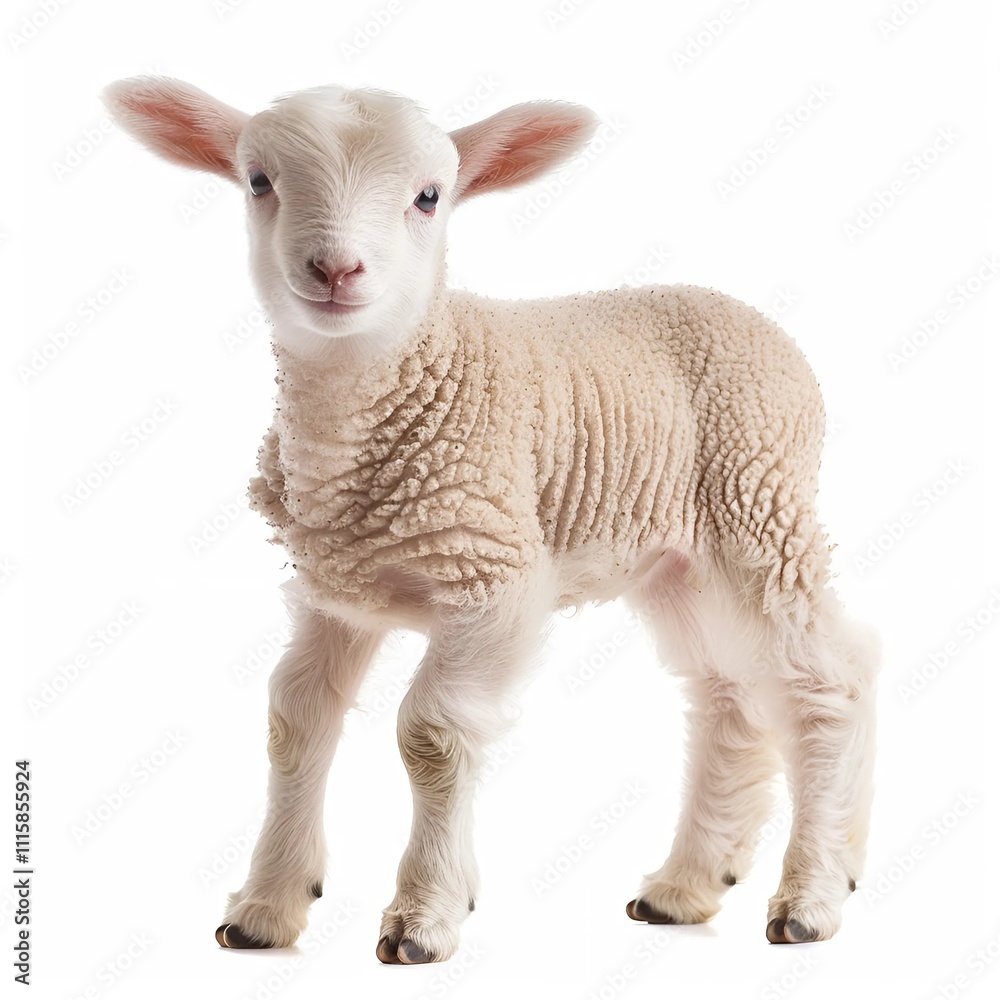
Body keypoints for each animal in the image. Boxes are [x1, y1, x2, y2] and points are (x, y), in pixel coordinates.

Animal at [101, 75, 879, 963]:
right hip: (678, 558)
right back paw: (685, 888)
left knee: (831, 681)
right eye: (258, 181)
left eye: (428, 197)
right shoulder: (337, 593)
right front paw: (267, 906)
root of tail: (750, 318)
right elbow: (293, 722)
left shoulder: (496, 580)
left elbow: (430, 735)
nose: (336, 268)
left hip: (760, 504)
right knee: (728, 697)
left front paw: (424, 916)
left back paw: (813, 896)